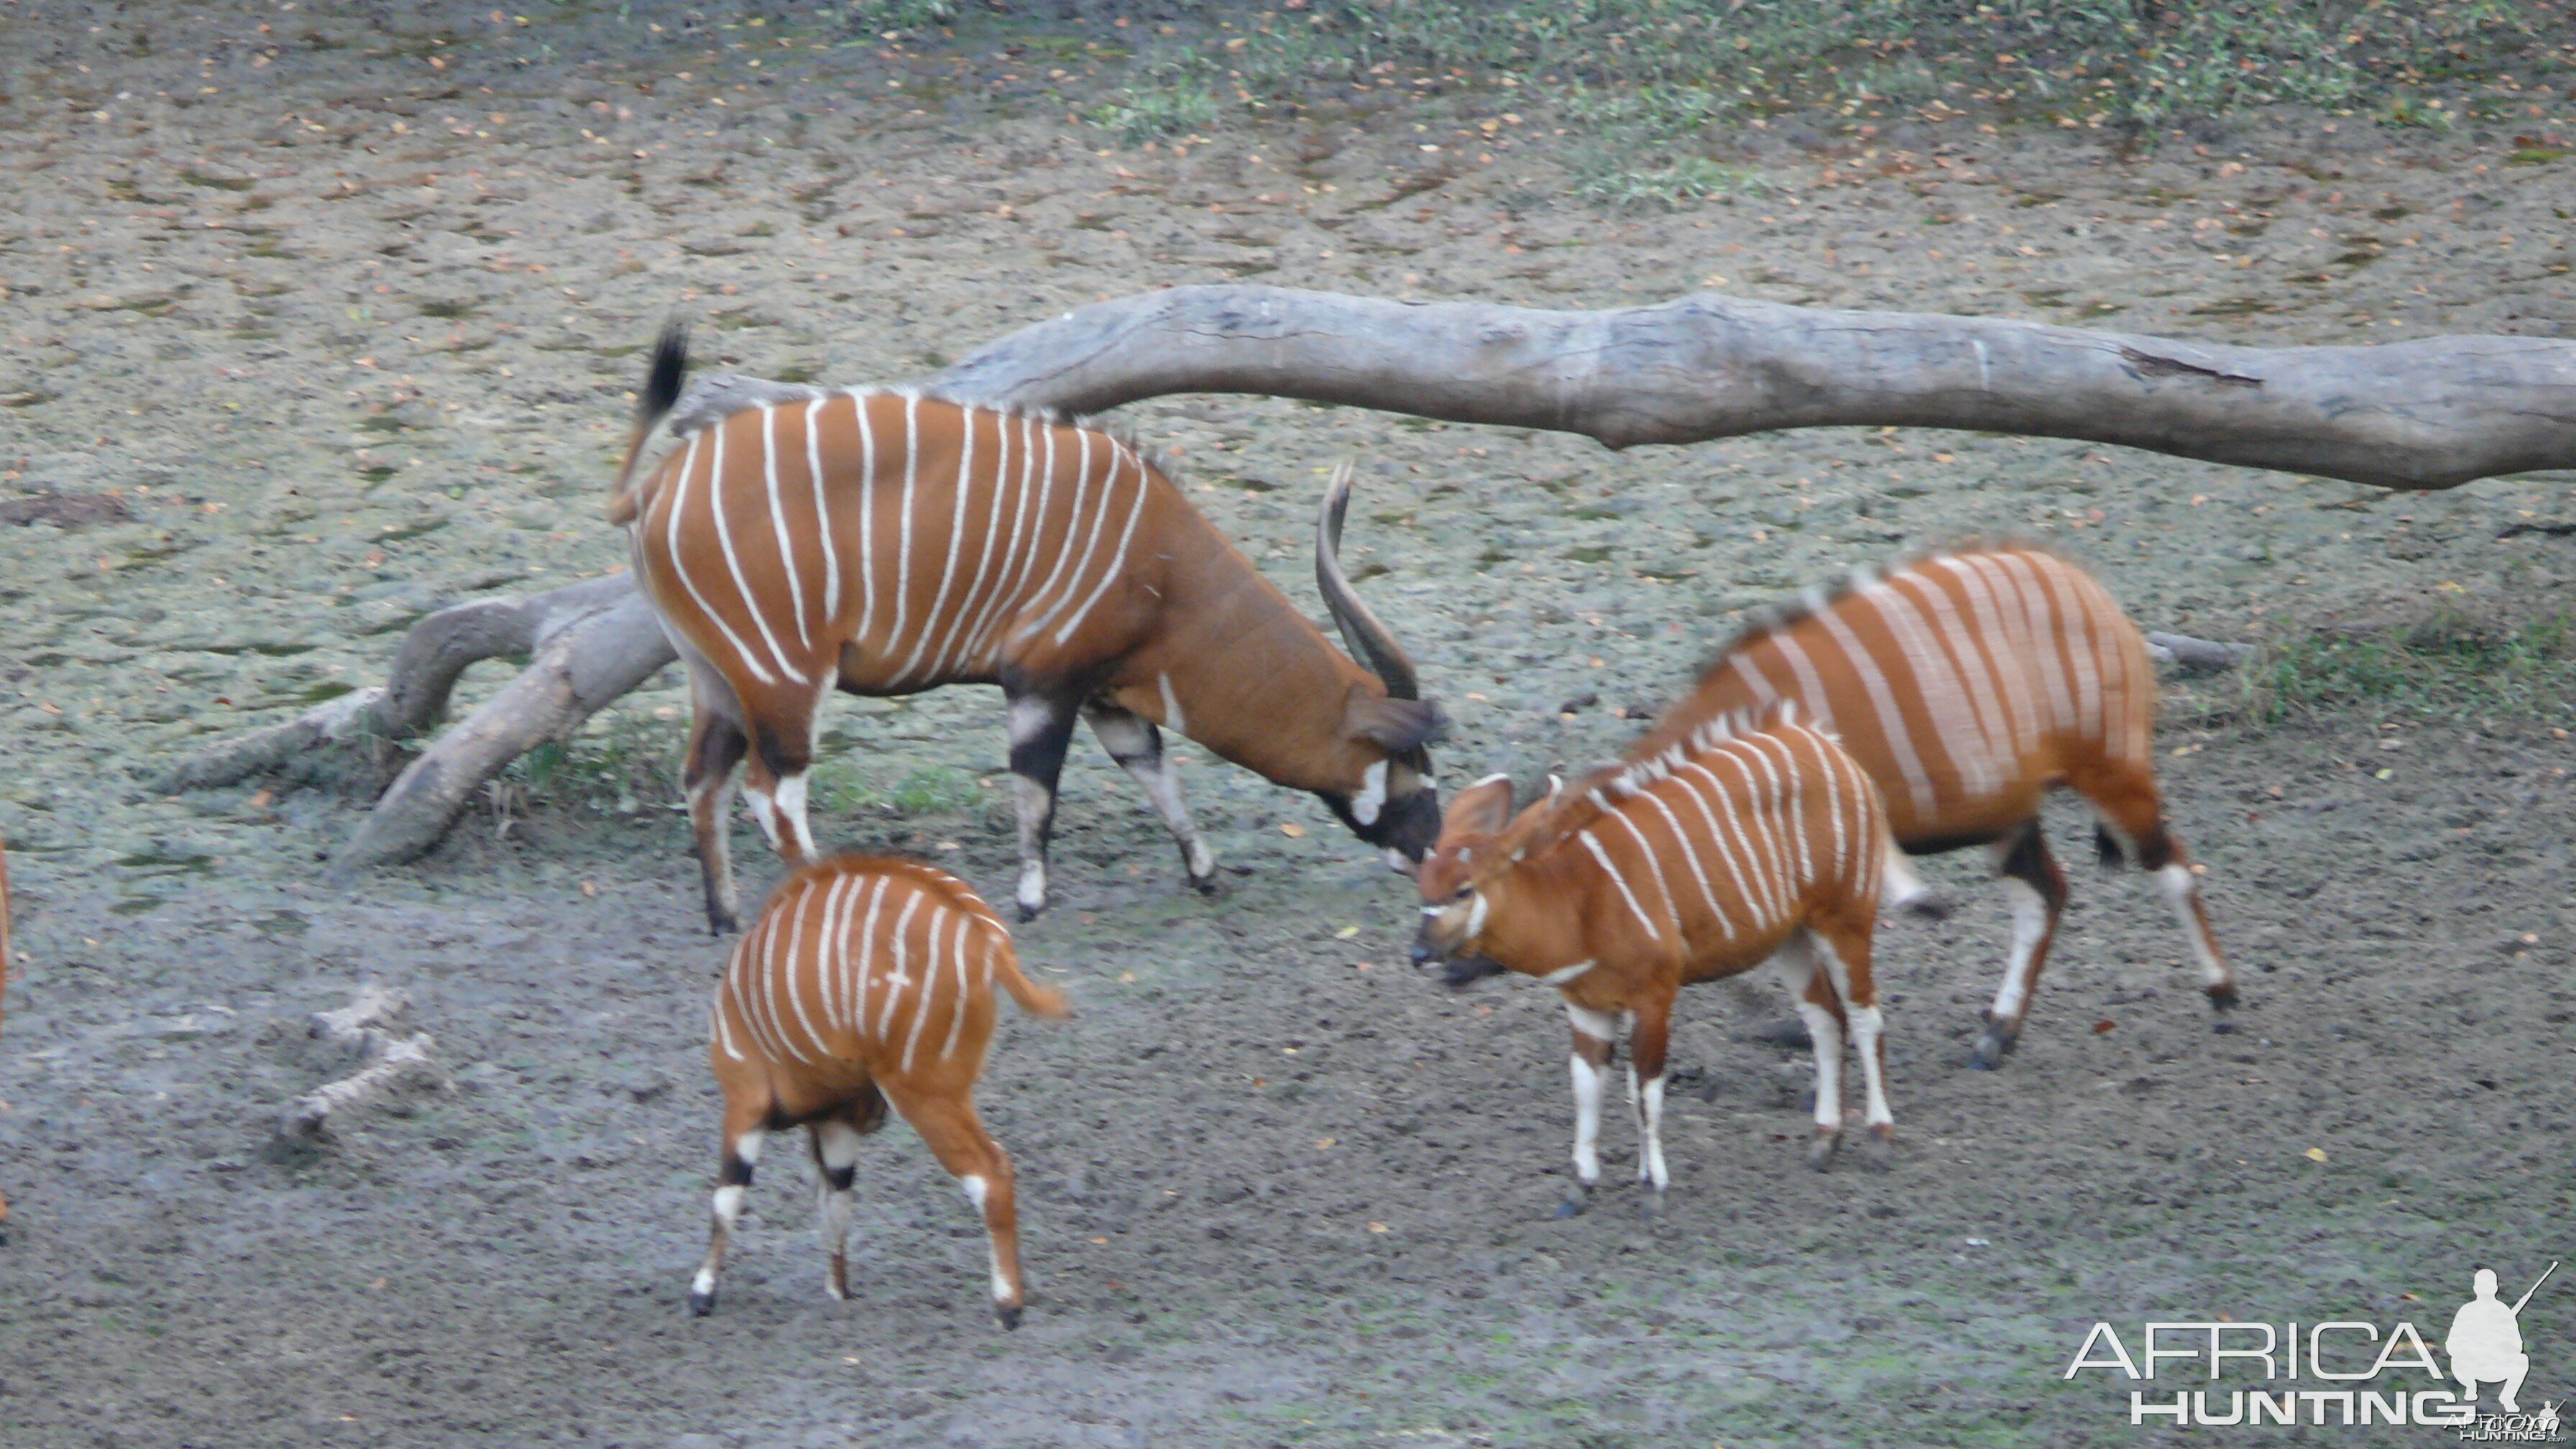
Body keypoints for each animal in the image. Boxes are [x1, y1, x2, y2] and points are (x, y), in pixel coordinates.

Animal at [610, 330, 1443, 923]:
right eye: (1413, 771)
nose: (1432, 854)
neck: (1162, 562)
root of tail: (652, 491)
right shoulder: (1042, 680)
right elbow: (1038, 786)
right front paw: (1031, 900)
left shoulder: (1105, 692)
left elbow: (1153, 769)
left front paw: (1205, 872)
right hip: (783, 676)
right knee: (771, 792)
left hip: (718, 679)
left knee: (704, 780)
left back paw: (725, 917)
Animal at [685, 850, 1066, 1330]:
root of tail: (988, 940)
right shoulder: (839, 1119)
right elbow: (836, 1199)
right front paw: (838, 1292)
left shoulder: (745, 1101)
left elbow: (727, 1199)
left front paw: (701, 1294)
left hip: (926, 1094)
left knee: (991, 1171)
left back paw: (1008, 1307)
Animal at [1412, 701, 1916, 1206]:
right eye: (1422, 885)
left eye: (1464, 890)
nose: (1419, 953)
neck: (1576, 900)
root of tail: (1829, 745)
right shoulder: (1586, 1007)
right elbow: (1587, 1087)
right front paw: (1582, 1184)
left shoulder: (1655, 997)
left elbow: (1645, 1090)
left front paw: (1653, 1186)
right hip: (1792, 937)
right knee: (1826, 1020)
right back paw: (1823, 1142)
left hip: (1844, 917)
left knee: (1865, 1014)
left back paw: (1879, 1139)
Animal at [1638, 541, 2225, 1062]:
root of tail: (2093, 592)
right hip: (2014, 815)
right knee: (2047, 896)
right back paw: (1997, 1035)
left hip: (2111, 774)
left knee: (2169, 863)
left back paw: (2222, 993)